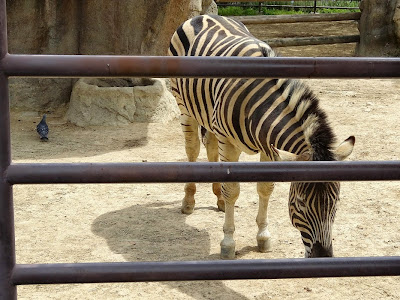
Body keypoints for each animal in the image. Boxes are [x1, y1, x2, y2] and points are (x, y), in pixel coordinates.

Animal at [167, 14, 354, 258]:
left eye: (336, 202)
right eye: (301, 203)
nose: (322, 258)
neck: (260, 105)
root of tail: (203, 15)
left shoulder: (269, 147)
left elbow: (266, 187)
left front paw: (263, 237)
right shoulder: (229, 143)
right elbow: (232, 190)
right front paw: (228, 243)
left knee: (210, 147)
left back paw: (218, 199)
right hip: (185, 107)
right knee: (192, 150)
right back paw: (189, 201)